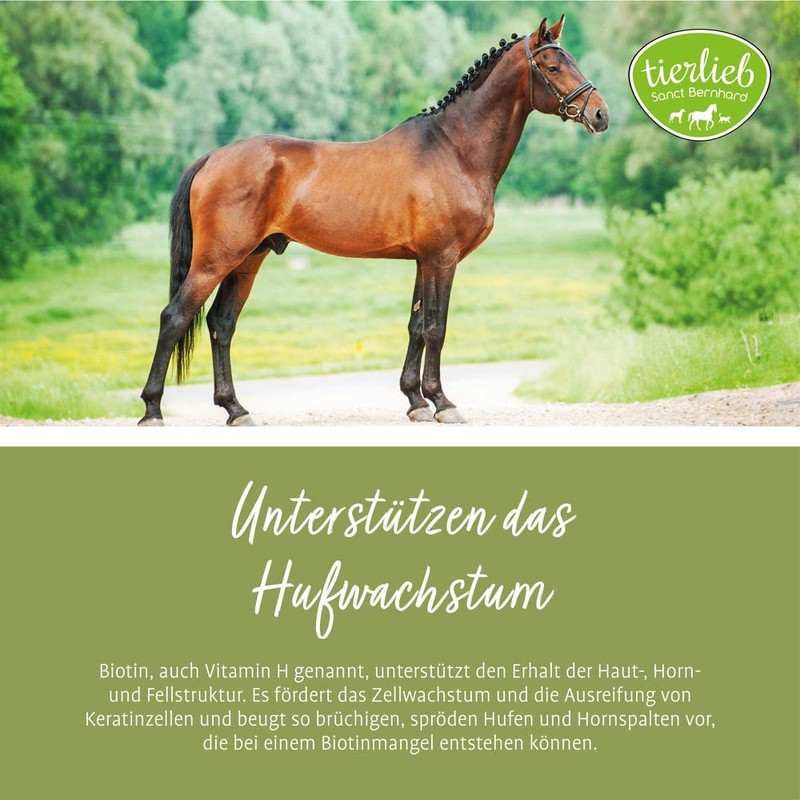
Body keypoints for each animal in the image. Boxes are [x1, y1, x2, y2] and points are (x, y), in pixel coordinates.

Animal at [139, 15, 609, 426]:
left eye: (571, 60)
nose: (601, 114)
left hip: (248, 260)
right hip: (215, 260)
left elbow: (417, 326)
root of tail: (213, 157)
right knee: (174, 317)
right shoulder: (443, 258)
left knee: (221, 325)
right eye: (553, 66)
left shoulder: (423, 261)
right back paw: (153, 410)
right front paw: (442, 402)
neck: (455, 149)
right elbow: (436, 327)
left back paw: (236, 409)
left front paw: (416, 401)